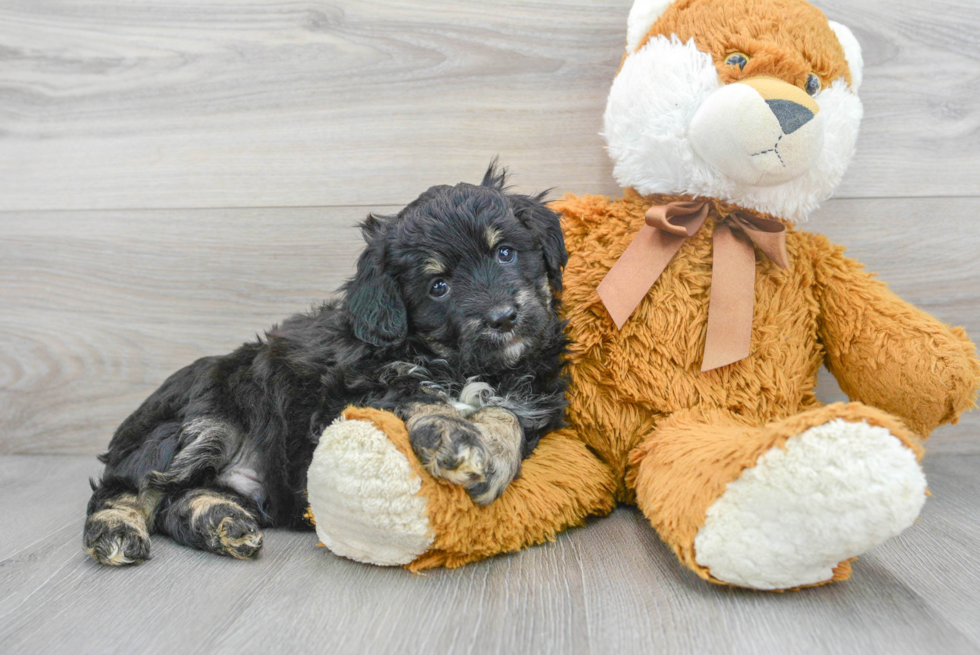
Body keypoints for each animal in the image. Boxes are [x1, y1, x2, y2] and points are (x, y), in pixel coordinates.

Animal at [87, 161, 572, 568]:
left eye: (505, 253)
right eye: (438, 286)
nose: (502, 318)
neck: (464, 364)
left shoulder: (534, 393)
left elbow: (507, 415)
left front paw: (492, 460)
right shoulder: (354, 391)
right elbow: (417, 394)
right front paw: (455, 437)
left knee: (176, 499)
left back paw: (221, 522)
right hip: (204, 417)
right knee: (129, 485)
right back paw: (117, 530)